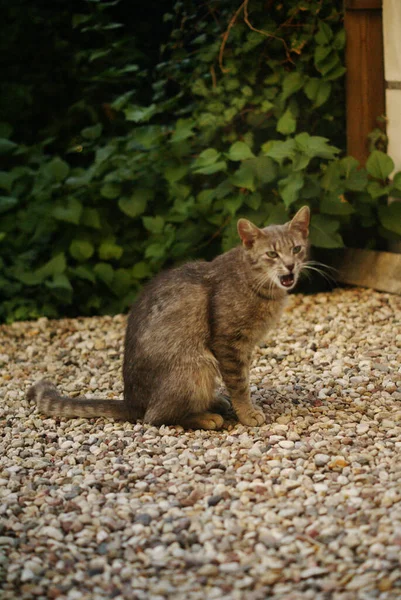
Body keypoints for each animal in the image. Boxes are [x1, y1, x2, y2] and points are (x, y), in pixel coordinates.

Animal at [28, 205, 310, 426]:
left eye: (296, 249)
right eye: (272, 254)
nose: (290, 265)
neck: (256, 283)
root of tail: (131, 402)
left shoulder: (245, 347)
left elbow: (243, 378)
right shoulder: (228, 343)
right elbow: (239, 383)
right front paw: (247, 413)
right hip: (197, 366)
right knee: (155, 417)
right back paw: (206, 417)